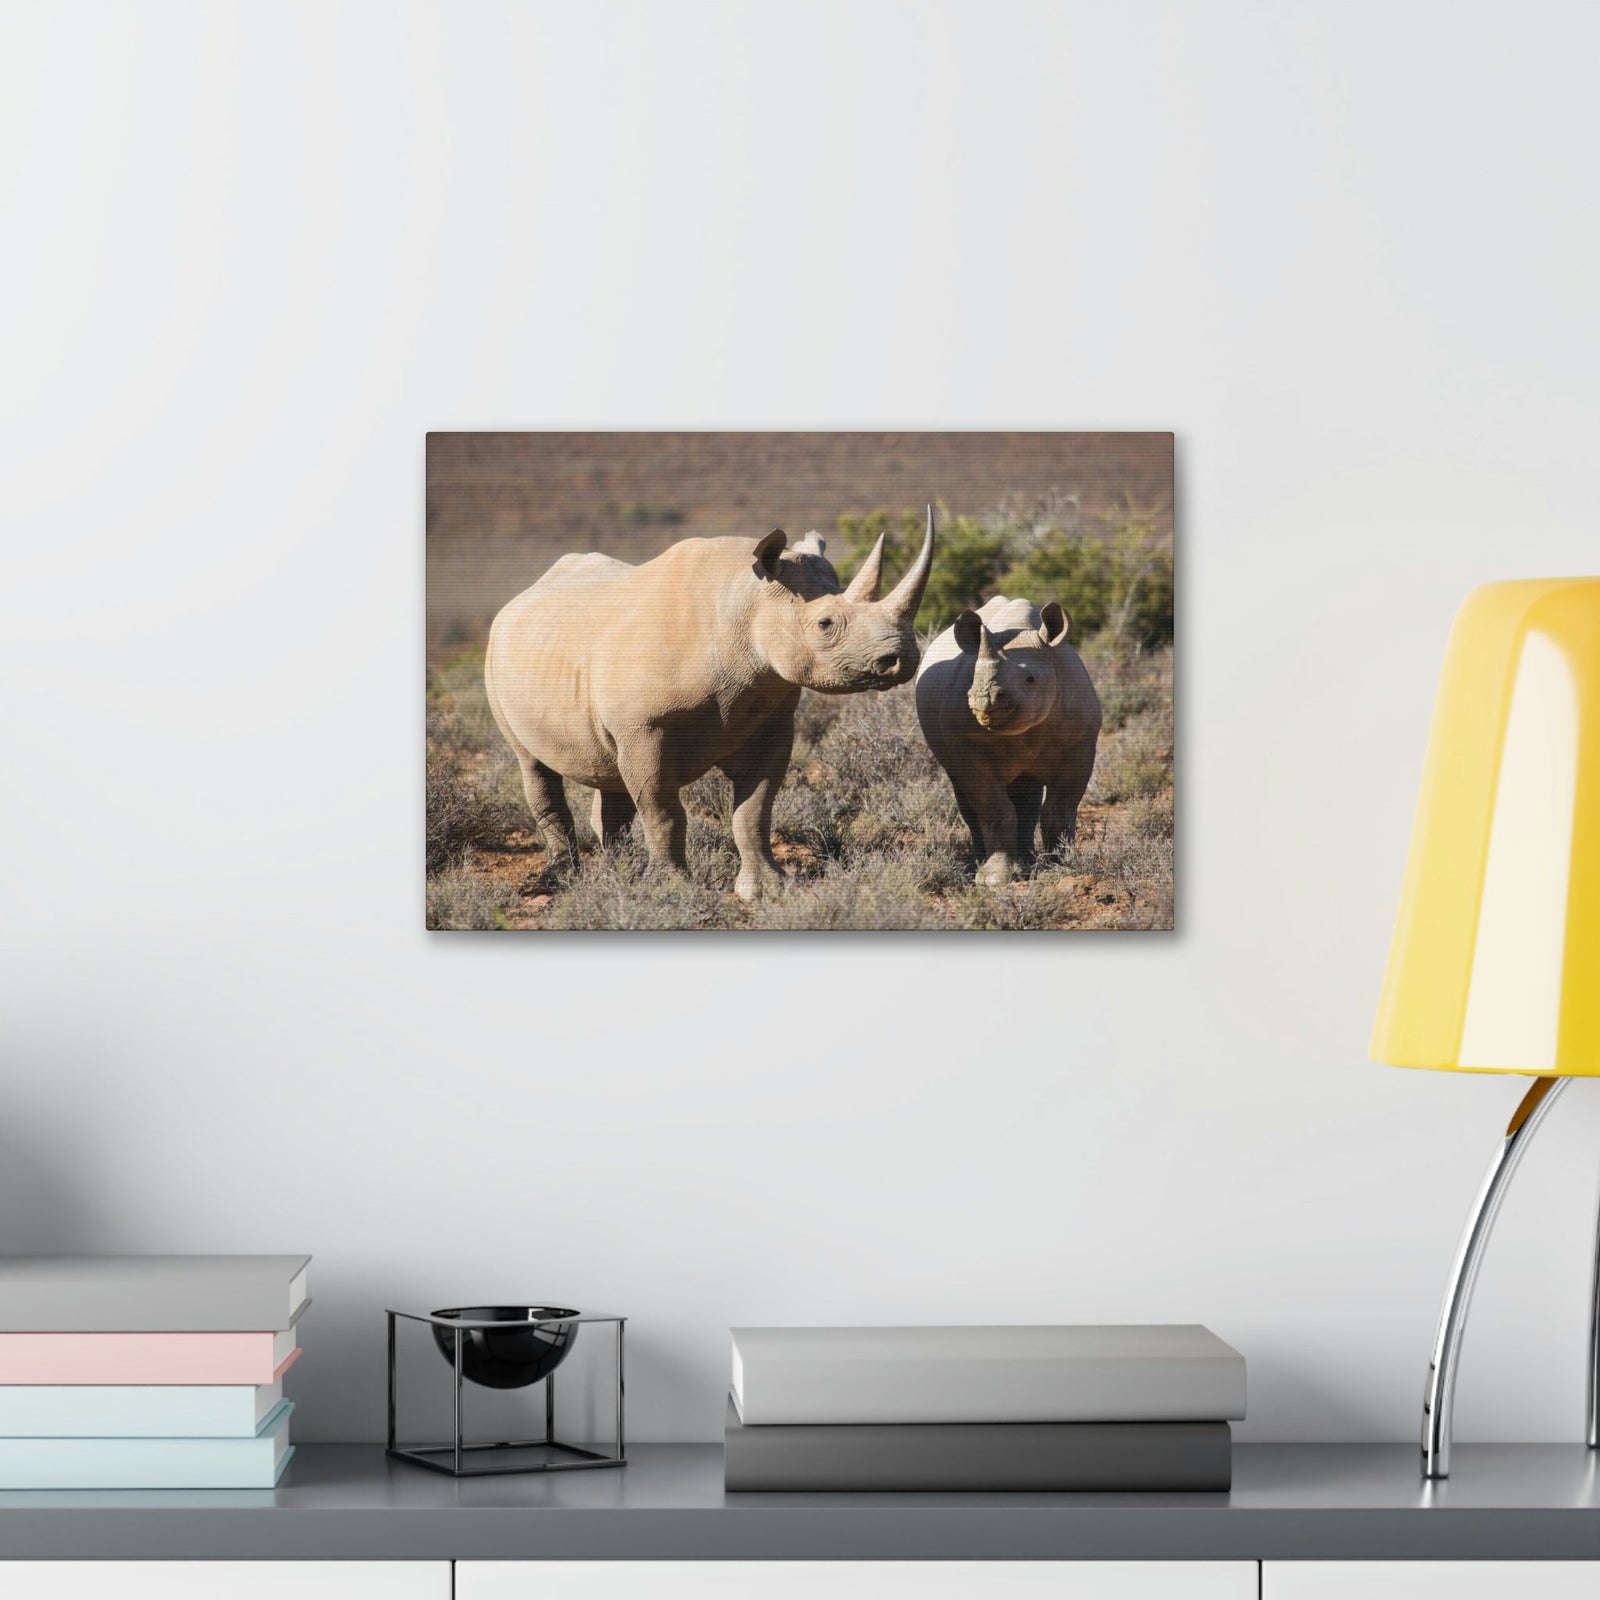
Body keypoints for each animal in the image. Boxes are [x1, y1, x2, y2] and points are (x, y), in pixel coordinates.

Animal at [485, 508, 936, 900]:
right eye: (825, 624)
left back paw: (618, 872)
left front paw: (766, 888)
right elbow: (664, 812)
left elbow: (754, 810)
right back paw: (562, 877)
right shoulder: (645, 729)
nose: (903, 658)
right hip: (497, 657)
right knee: (533, 763)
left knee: (608, 773)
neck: (746, 605)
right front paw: (669, 889)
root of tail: (521, 597)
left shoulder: (771, 719)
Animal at [915, 595, 1103, 887]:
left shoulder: (1081, 744)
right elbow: (994, 808)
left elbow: (1060, 808)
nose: (983, 698)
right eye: (973, 677)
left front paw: (1062, 867)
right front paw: (995, 879)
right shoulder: (965, 747)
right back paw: (986, 866)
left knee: (1027, 793)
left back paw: (1029, 864)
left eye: (1030, 679)